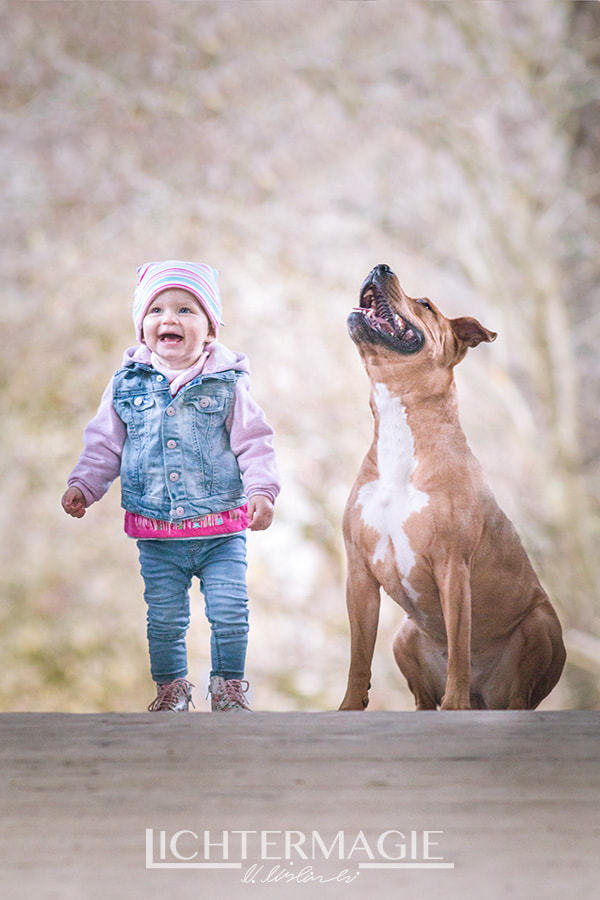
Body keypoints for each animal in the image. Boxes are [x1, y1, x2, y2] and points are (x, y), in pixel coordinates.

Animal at [340, 262, 564, 712]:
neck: (400, 424)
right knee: (422, 696)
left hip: (540, 625)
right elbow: (359, 656)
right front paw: (348, 708)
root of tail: (486, 697)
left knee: (519, 694)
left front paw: (455, 706)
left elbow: (459, 647)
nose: (380, 266)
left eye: (426, 305)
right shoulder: (359, 573)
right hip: (404, 635)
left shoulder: (452, 567)